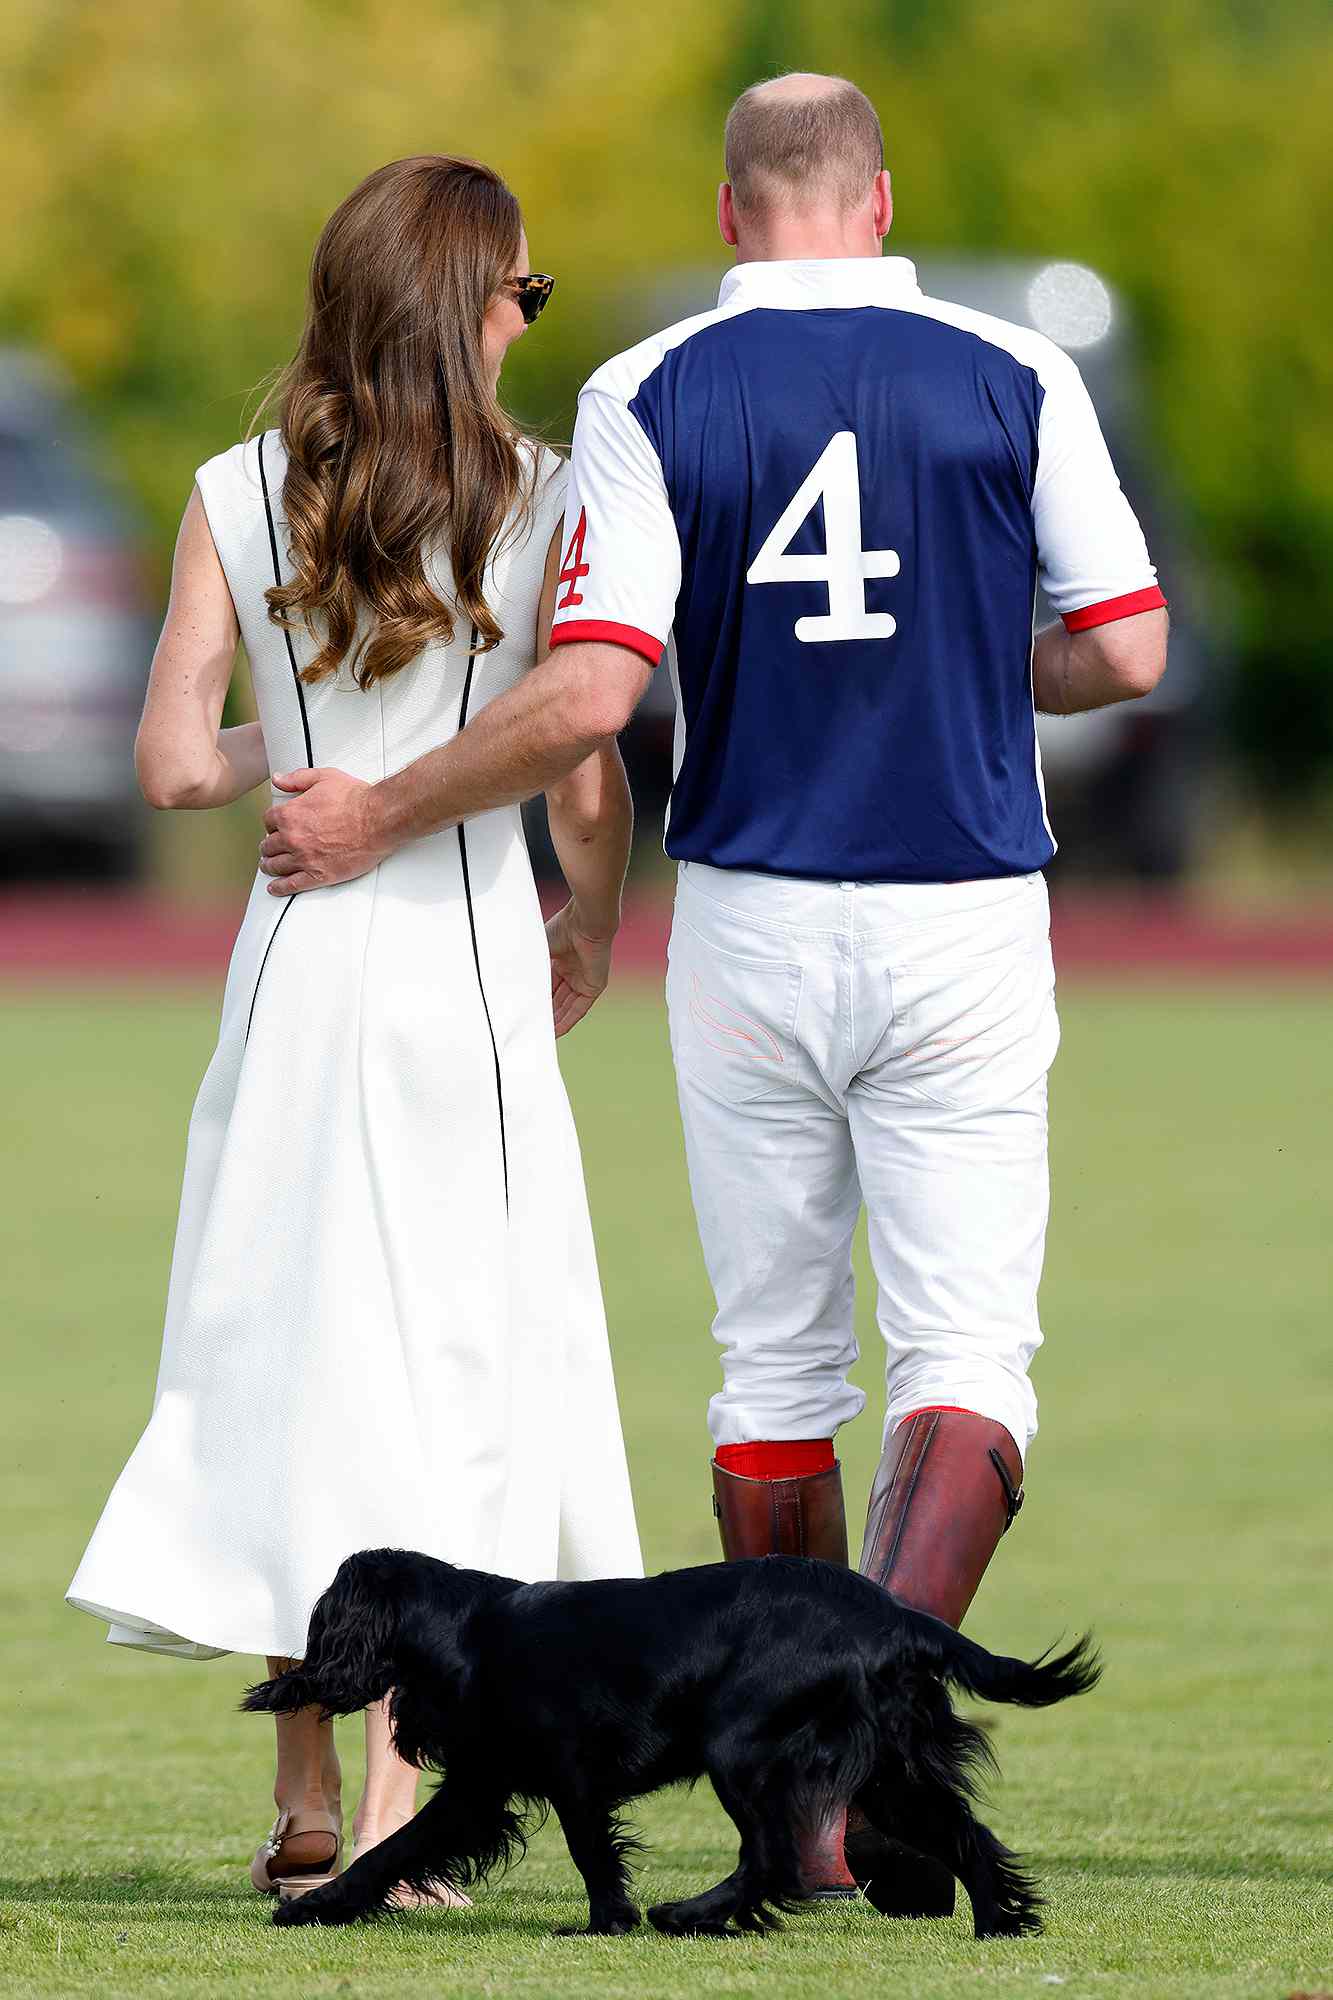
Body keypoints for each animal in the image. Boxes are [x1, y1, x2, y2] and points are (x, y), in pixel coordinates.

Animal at [244, 1544, 1096, 1936]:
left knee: (773, 1856)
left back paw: (688, 1913)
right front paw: (326, 1903)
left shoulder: (565, 1776)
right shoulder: (482, 1786)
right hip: (892, 1772)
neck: (466, 1630)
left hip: (743, 1752)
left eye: (321, 1618)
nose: (293, 1675)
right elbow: (398, 1850)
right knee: (965, 1835)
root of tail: (892, 1615)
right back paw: (998, 1923)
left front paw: (606, 1922)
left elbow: (589, 1853)